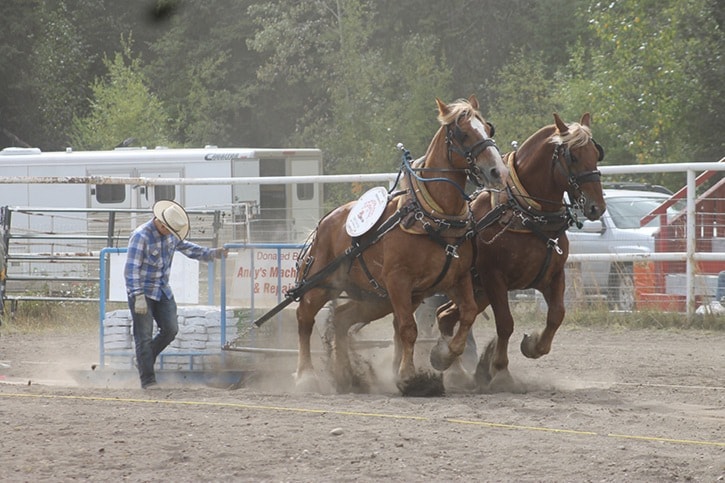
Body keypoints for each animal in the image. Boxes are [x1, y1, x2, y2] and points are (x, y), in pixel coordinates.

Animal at [436, 112, 604, 390]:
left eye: (596, 152)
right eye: (573, 156)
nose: (596, 207)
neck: (523, 212)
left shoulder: (553, 275)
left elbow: (557, 315)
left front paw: (533, 345)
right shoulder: (494, 279)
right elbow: (506, 324)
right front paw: (501, 372)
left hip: (477, 292)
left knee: (446, 316)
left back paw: (455, 368)